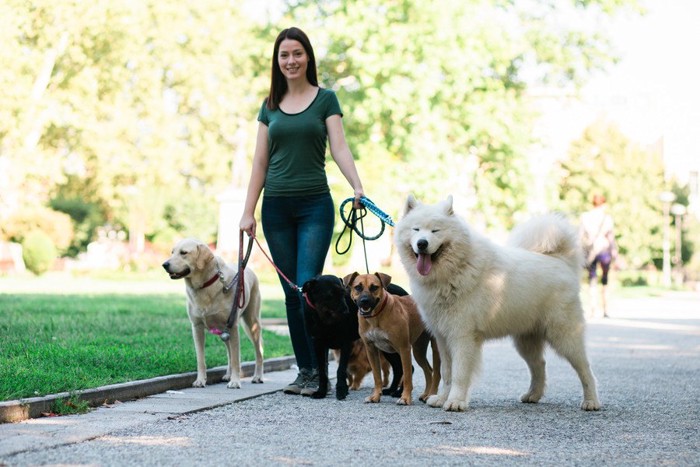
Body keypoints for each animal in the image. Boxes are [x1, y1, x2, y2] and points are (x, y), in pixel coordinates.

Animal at [344, 272, 440, 408]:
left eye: (374, 287)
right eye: (358, 287)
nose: (364, 301)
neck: (376, 316)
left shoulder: (404, 348)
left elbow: (407, 376)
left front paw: (405, 398)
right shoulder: (371, 350)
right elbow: (377, 376)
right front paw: (375, 396)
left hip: (435, 348)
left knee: (436, 372)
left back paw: (431, 395)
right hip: (418, 350)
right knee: (428, 370)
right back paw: (426, 394)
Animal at [396, 195, 600, 414]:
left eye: (435, 230)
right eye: (416, 229)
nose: (422, 243)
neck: (453, 271)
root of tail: (561, 261)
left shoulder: (463, 336)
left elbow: (459, 374)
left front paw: (455, 402)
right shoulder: (443, 338)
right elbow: (447, 372)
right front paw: (442, 399)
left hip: (564, 336)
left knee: (585, 369)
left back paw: (591, 402)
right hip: (525, 340)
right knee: (539, 365)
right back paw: (532, 395)